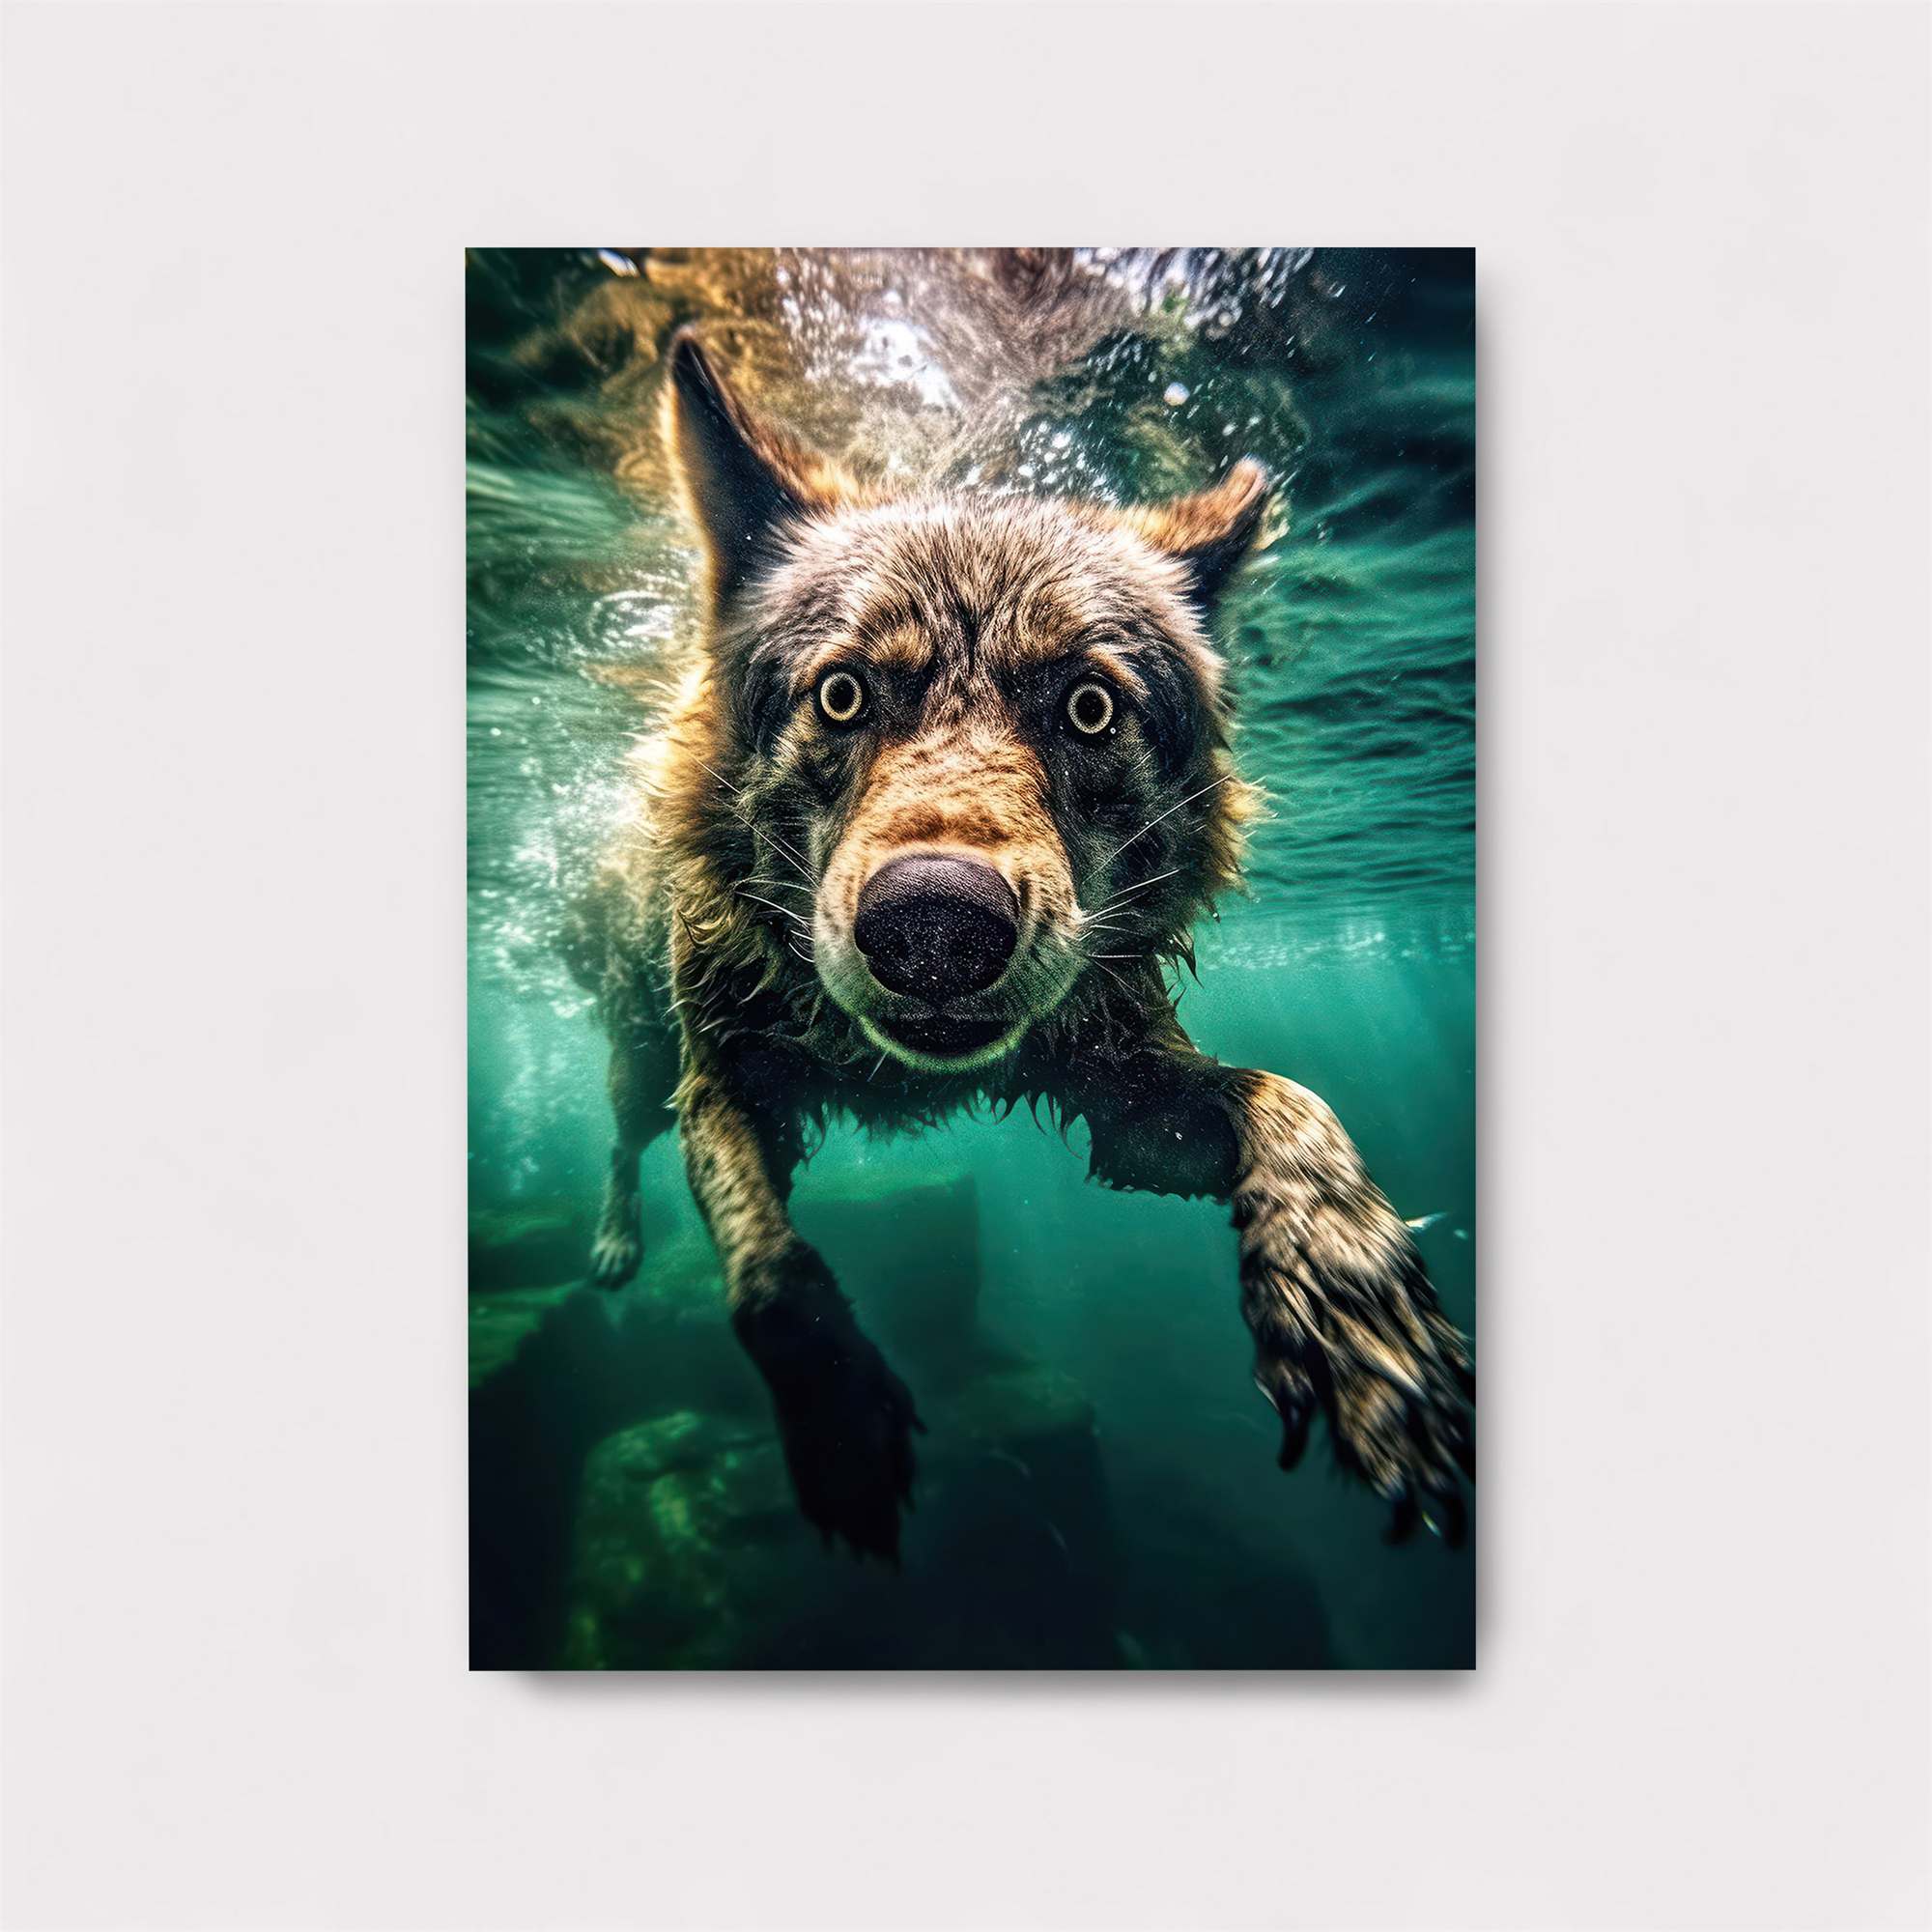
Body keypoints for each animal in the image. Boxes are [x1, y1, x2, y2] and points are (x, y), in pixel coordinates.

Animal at [566, 334, 1474, 1559]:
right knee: (623, 1141)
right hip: (644, 1053)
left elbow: (1295, 1102)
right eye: (841, 695)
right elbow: (766, 1273)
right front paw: (841, 1431)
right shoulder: (724, 1084)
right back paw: (614, 1245)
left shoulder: (1121, 1086)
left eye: (1087, 707)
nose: (935, 927)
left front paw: (1358, 1315)